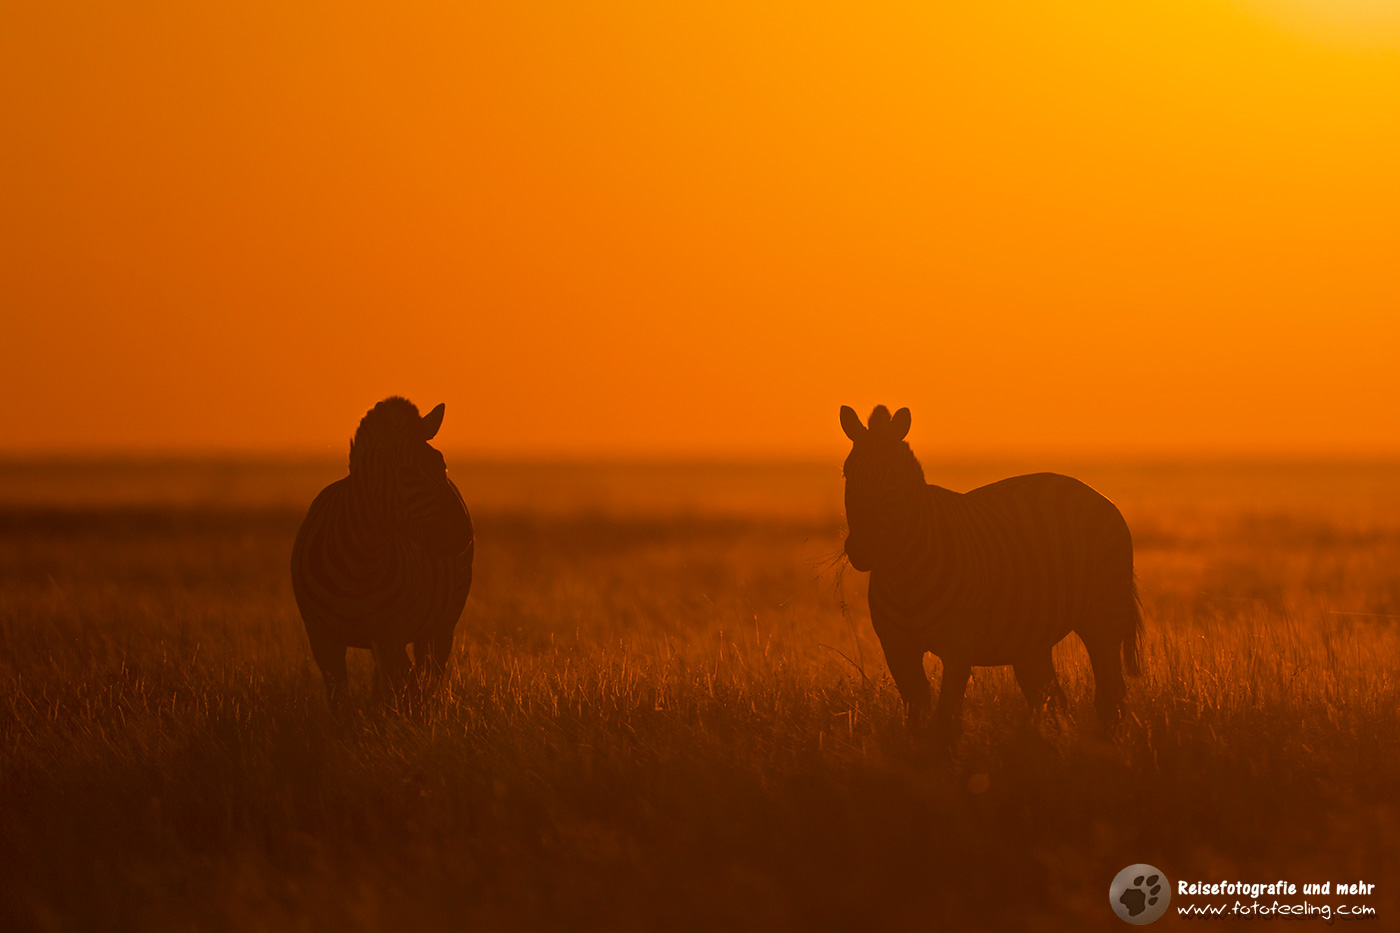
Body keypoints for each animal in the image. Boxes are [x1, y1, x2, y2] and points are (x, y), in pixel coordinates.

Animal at [291, 397, 474, 706]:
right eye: (407, 471)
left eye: (442, 465)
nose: (463, 534)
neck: (358, 559)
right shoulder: (322, 639)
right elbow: (341, 701)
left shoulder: (390, 636)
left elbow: (400, 688)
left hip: (441, 625)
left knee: (428, 673)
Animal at [839, 404, 1141, 743]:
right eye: (847, 473)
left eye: (893, 479)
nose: (861, 550)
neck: (902, 575)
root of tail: (1094, 493)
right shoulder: (896, 647)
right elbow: (916, 720)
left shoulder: (958, 647)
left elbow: (946, 723)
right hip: (1031, 639)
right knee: (1053, 701)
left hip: (1103, 617)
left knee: (1110, 697)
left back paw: (1111, 746)